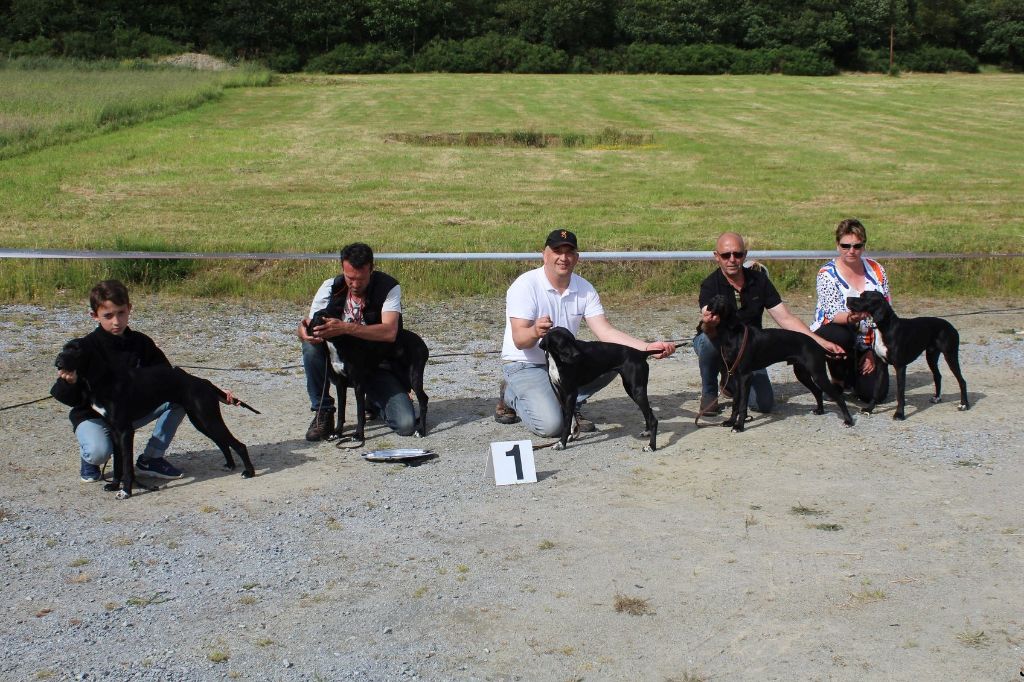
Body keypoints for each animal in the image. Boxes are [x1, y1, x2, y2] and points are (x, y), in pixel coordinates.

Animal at [54, 339, 258, 499]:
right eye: (64, 348)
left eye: (76, 349)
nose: (58, 360)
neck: (103, 380)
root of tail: (204, 382)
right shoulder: (114, 431)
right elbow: (118, 463)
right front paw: (114, 485)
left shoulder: (125, 431)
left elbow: (126, 465)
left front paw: (126, 491)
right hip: (201, 421)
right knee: (223, 442)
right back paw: (230, 465)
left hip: (208, 418)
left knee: (238, 444)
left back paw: (249, 472)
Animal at [704, 292, 856, 430]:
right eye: (713, 298)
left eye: (725, 298)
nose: (720, 298)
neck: (731, 333)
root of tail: (818, 345)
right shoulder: (735, 376)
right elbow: (736, 402)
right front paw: (730, 421)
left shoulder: (745, 376)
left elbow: (742, 404)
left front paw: (739, 426)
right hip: (802, 374)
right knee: (818, 391)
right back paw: (820, 411)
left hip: (818, 374)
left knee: (838, 397)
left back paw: (848, 420)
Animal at [847, 288, 966, 417]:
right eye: (860, 295)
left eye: (865, 297)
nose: (848, 299)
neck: (885, 328)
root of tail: (951, 327)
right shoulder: (881, 366)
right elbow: (876, 390)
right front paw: (869, 409)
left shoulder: (900, 367)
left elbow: (900, 393)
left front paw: (899, 414)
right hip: (931, 356)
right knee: (938, 375)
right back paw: (937, 398)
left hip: (950, 355)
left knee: (962, 380)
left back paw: (963, 404)